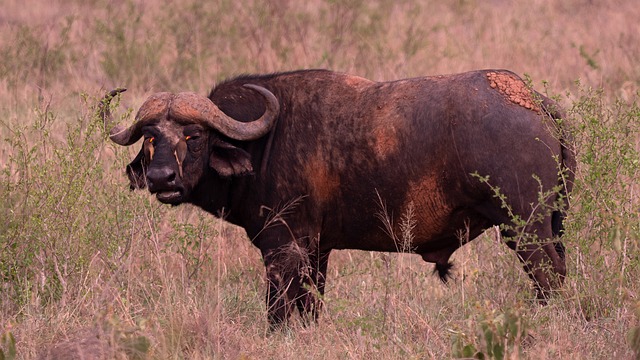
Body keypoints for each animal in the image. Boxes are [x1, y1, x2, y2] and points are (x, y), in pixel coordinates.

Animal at [101, 68, 576, 330]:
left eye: (193, 136)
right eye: (150, 138)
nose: (161, 178)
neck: (265, 142)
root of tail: (537, 103)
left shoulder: (282, 249)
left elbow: (277, 313)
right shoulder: (316, 251)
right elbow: (310, 308)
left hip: (526, 228)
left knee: (549, 279)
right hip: (551, 226)